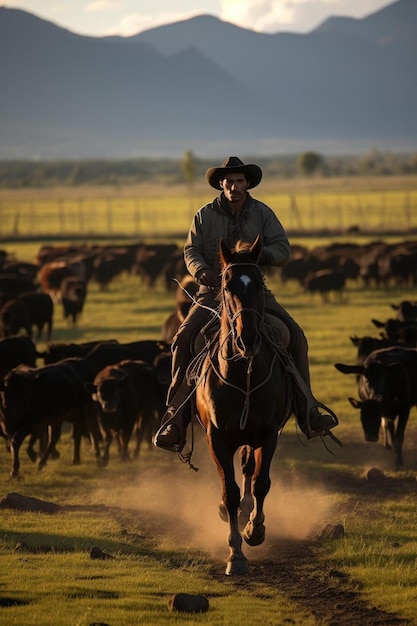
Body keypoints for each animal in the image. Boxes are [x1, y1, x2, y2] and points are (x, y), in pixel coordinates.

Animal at [195, 235, 292, 576]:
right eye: (227, 285)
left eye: (259, 283)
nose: (247, 339)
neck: (242, 374)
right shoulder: (216, 437)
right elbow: (230, 492)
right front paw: (235, 554)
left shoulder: (268, 433)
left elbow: (261, 483)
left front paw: (255, 530)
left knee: (249, 469)